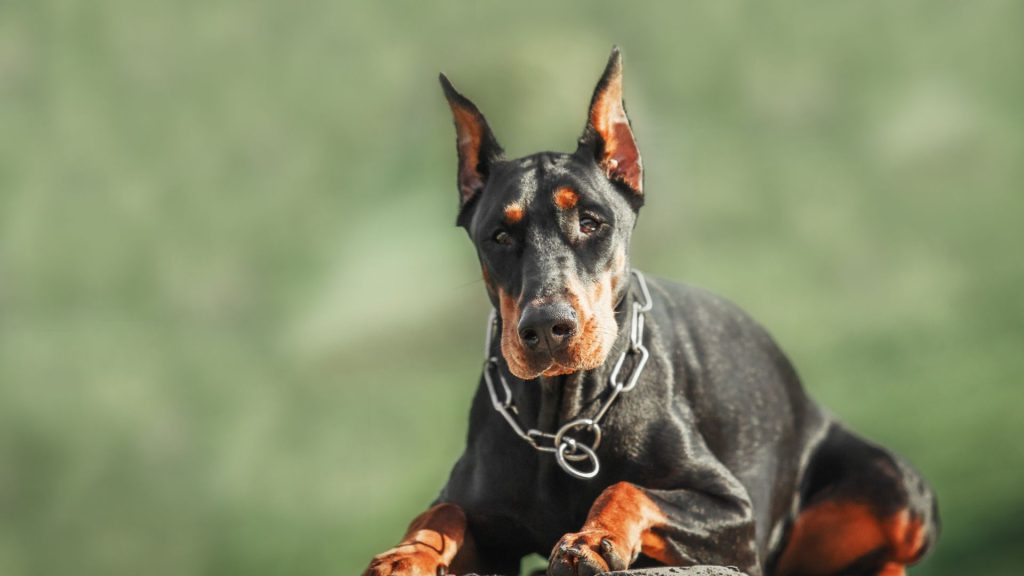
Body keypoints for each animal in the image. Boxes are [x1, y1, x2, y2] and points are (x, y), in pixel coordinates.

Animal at [364, 48, 937, 573]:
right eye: (499, 236)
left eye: (592, 222)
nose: (547, 329)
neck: (562, 422)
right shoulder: (485, 518)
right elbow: (440, 514)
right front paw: (404, 554)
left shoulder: (734, 513)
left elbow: (627, 487)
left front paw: (593, 539)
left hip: (899, 490)